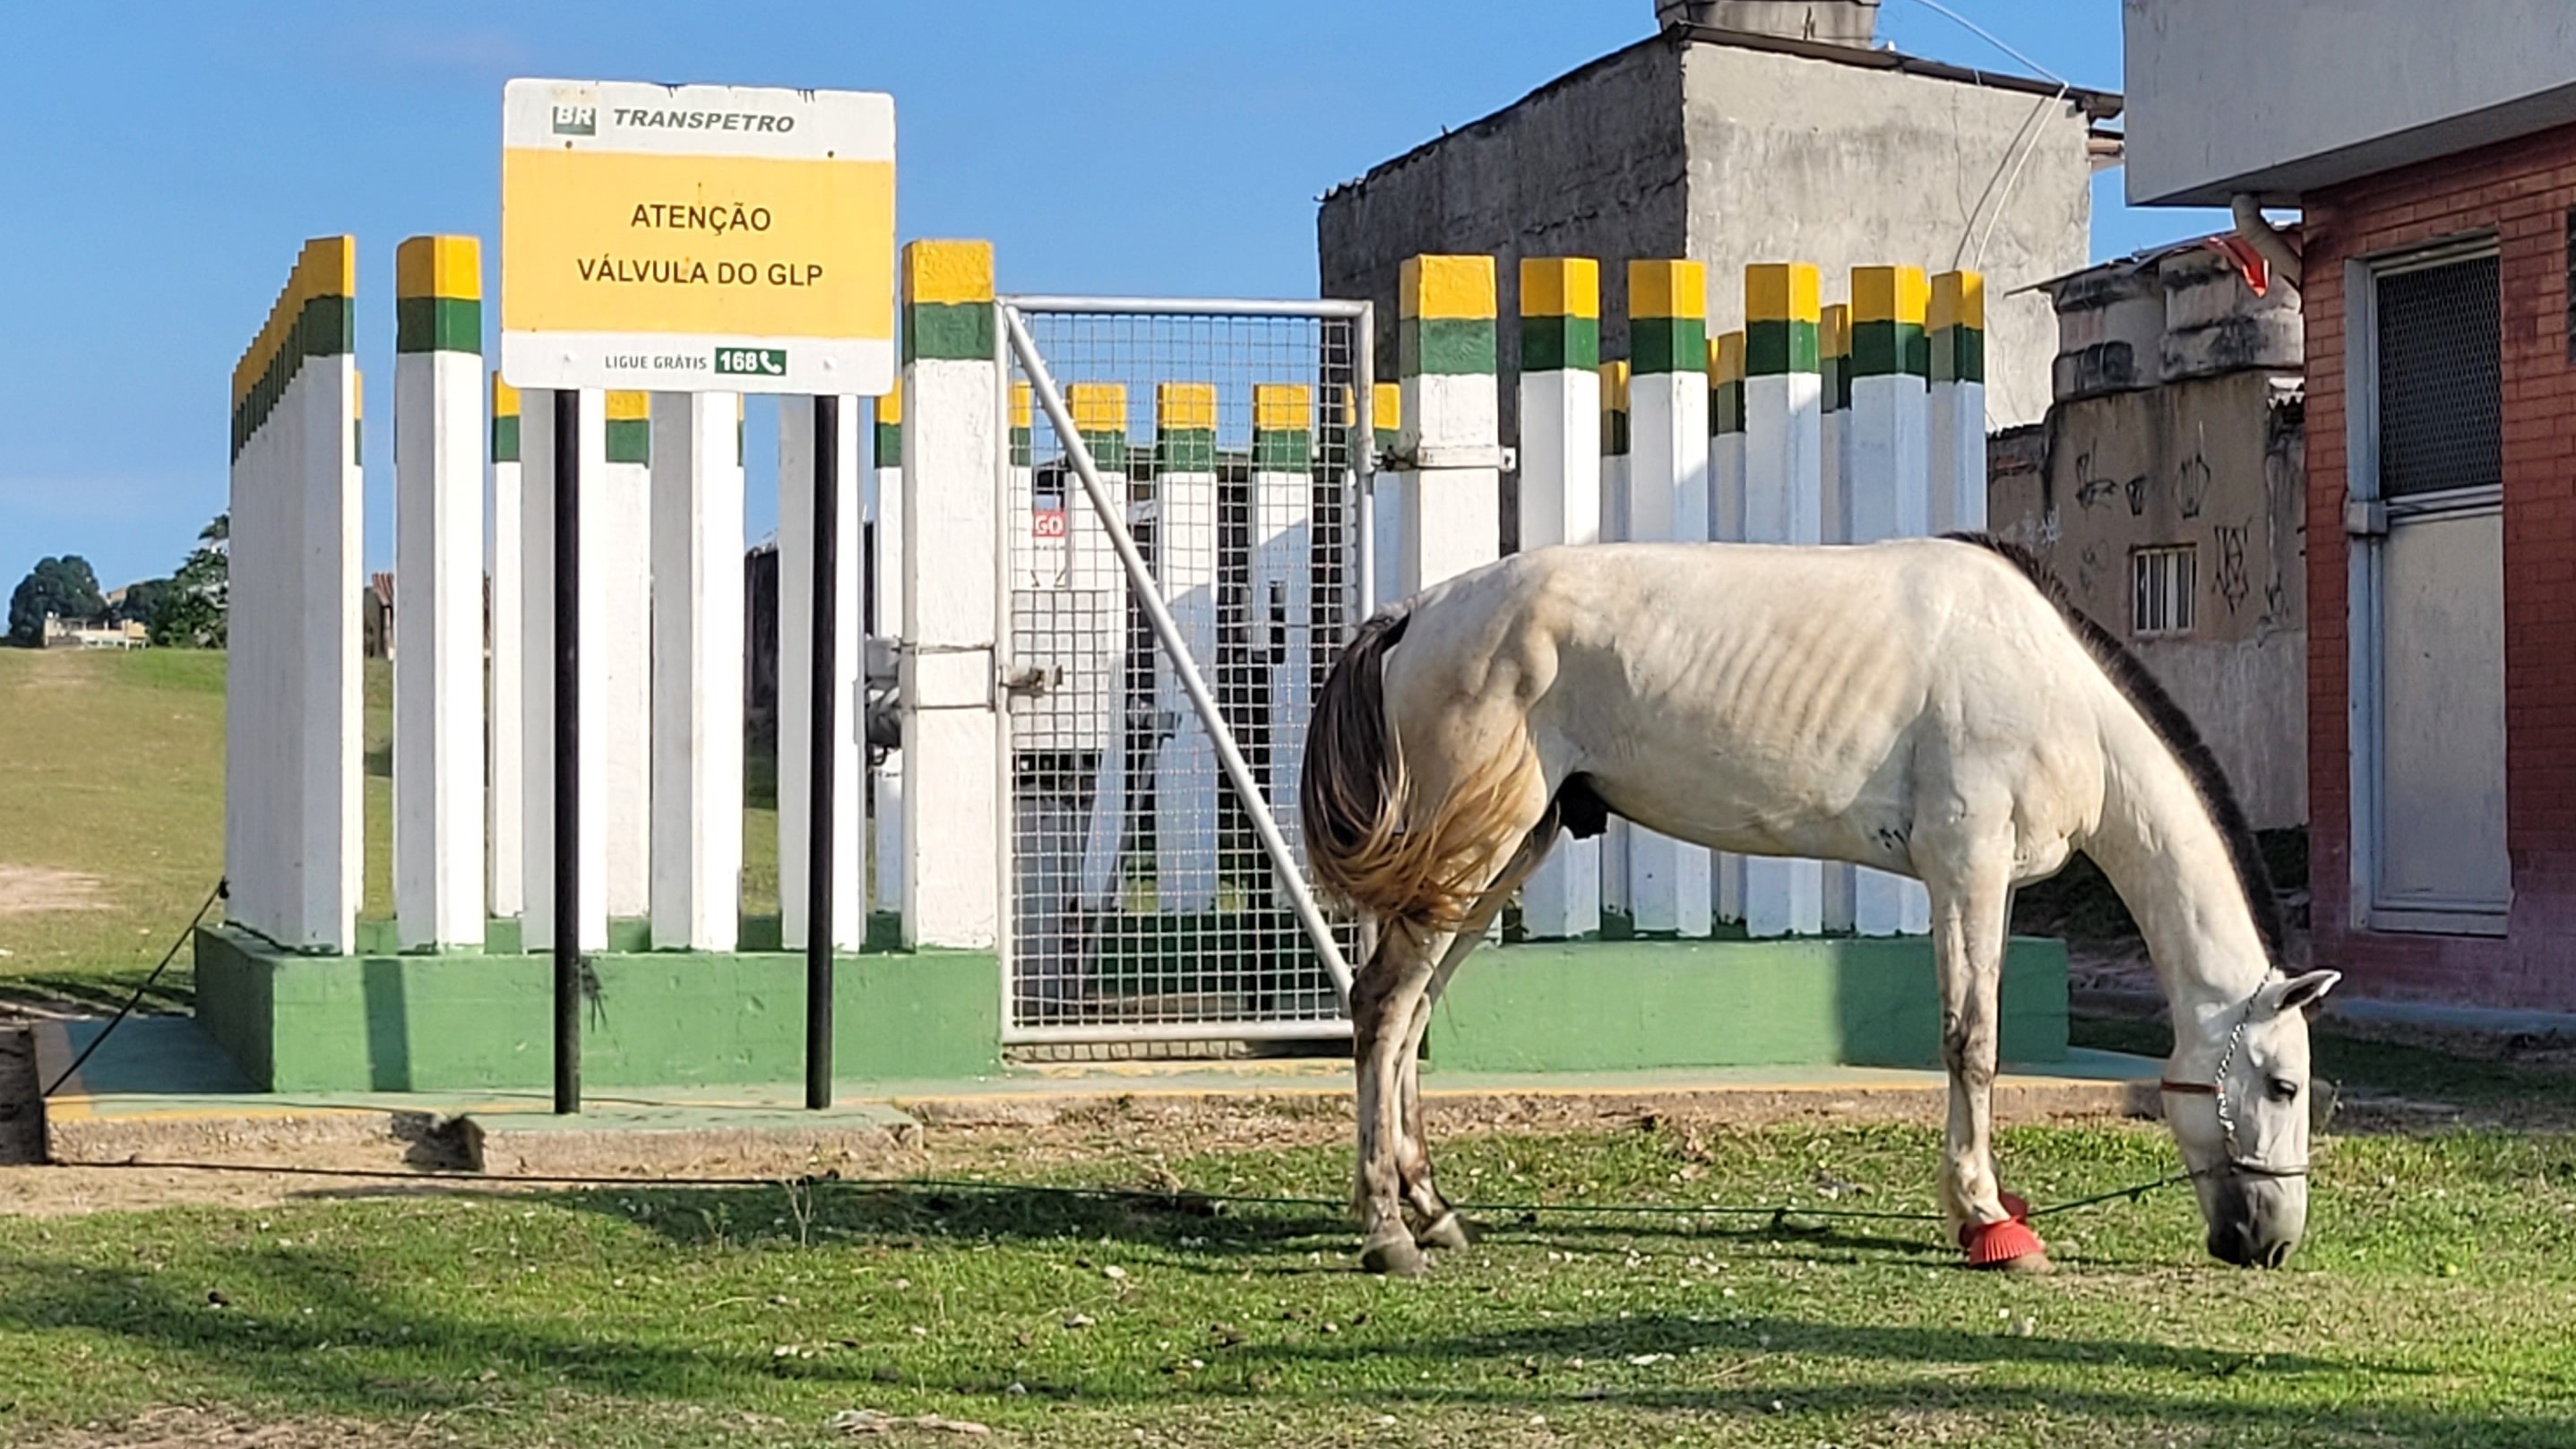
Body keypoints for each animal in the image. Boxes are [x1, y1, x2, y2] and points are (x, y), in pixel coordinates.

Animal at [1308, 528, 2339, 1263]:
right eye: (2281, 1083)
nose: (2270, 1242)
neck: (2052, 688)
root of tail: (1416, 614)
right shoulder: (1965, 867)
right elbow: (1971, 1041)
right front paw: (1985, 1219)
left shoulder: (1991, 885)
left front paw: (1988, 1204)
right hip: (1474, 854)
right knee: (1385, 1004)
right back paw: (1387, 1230)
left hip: (1496, 859)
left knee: (1412, 1013)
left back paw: (1433, 1209)